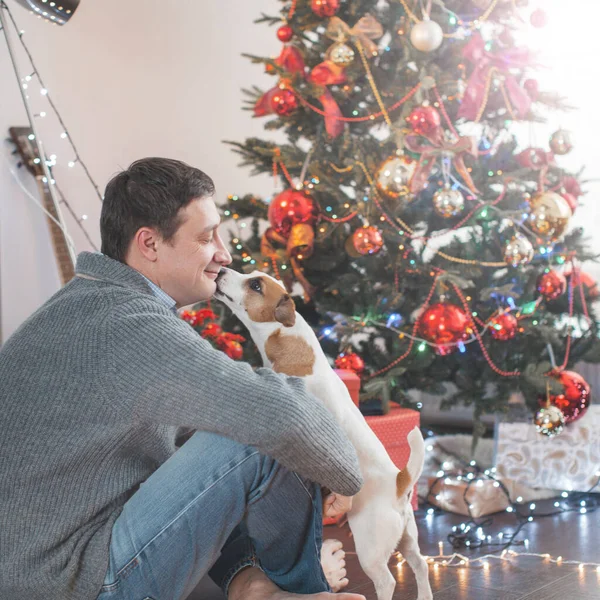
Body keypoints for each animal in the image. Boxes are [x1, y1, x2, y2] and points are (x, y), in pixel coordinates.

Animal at [216, 268, 432, 600]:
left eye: (255, 285)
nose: (221, 269)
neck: (290, 342)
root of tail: (399, 483)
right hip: (408, 538)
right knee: (420, 564)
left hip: (370, 548)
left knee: (388, 581)